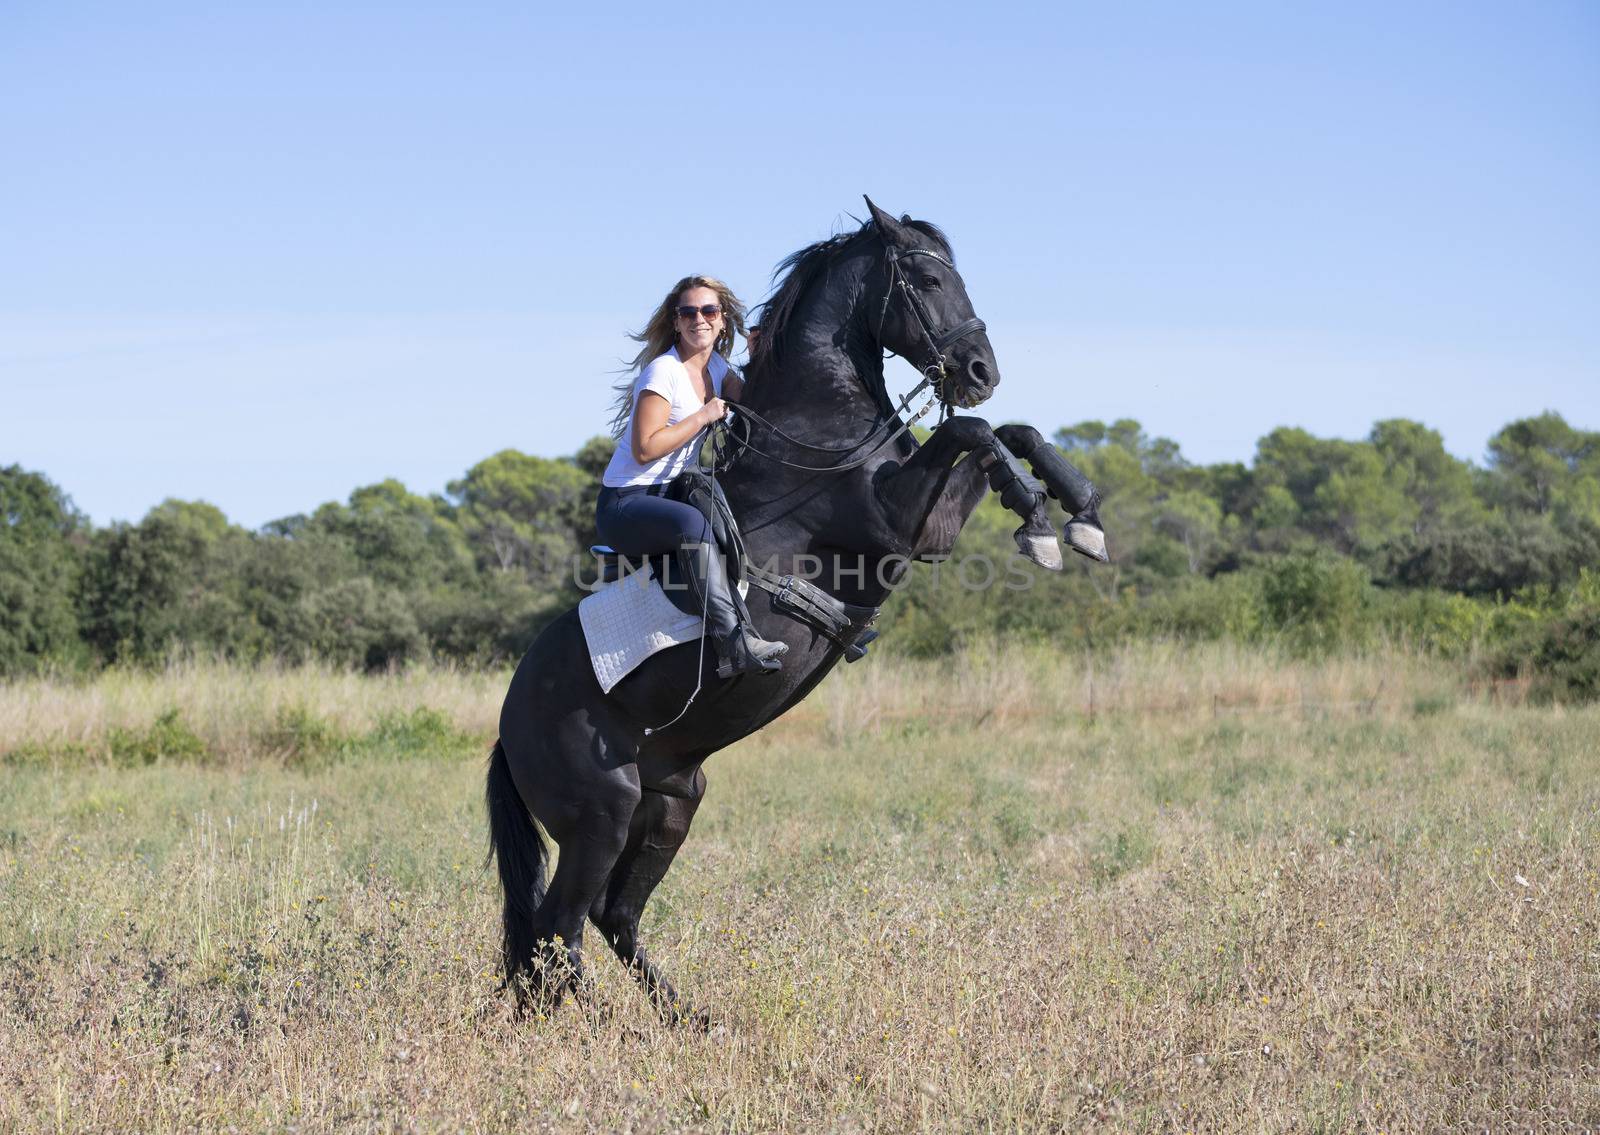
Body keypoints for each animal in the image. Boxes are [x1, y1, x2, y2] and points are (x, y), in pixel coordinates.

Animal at [486, 196, 1107, 1018]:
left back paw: (688, 1021)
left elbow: (1009, 431)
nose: (981, 371)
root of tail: (508, 724)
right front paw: (1039, 520)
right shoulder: (897, 523)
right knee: (561, 926)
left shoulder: (931, 522)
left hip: (672, 801)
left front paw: (1077, 515)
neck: (817, 428)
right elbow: (972, 430)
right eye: (929, 279)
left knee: (608, 918)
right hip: (603, 812)